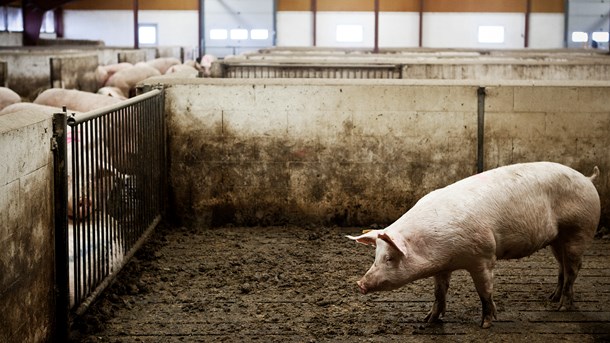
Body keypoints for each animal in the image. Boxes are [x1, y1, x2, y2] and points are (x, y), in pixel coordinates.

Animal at [346, 163, 600, 330]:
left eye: (390, 258)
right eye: (376, 256)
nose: (360, 284)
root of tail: (588, 179)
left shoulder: (483, 256)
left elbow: (484, 291)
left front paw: (486, 324)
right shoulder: (442, 267)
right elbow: (439, 292)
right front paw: (428, 320)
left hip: (579, 230)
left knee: (573, 269)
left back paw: (562, 308)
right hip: (557, 239)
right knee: (562, 266)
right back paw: (552, 298)